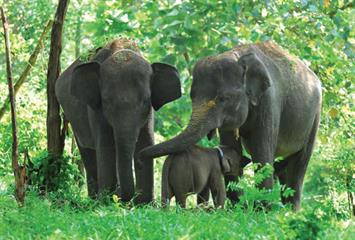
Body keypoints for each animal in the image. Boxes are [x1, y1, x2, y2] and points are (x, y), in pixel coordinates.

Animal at [56, 38, 182, 202]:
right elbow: (106, 144)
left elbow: (145, 141)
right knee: (87, 152)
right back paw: (95, 198)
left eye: (145, 101)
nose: (125, 197)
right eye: (107, 101)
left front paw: (144, 203)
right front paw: (106, 201)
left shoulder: (149, 113)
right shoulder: (96, 109)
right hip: (73, 119)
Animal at [141, 41, 322, 210]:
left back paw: (291, 211)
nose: (140, 155)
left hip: (315, 116)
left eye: (224, 98)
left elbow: (261, 152)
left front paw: (261, 210)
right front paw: (239, 208)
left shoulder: (269, 101)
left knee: (299, 164)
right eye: (192, 97)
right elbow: (231, 146)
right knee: (284, 168)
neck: (238, 55)